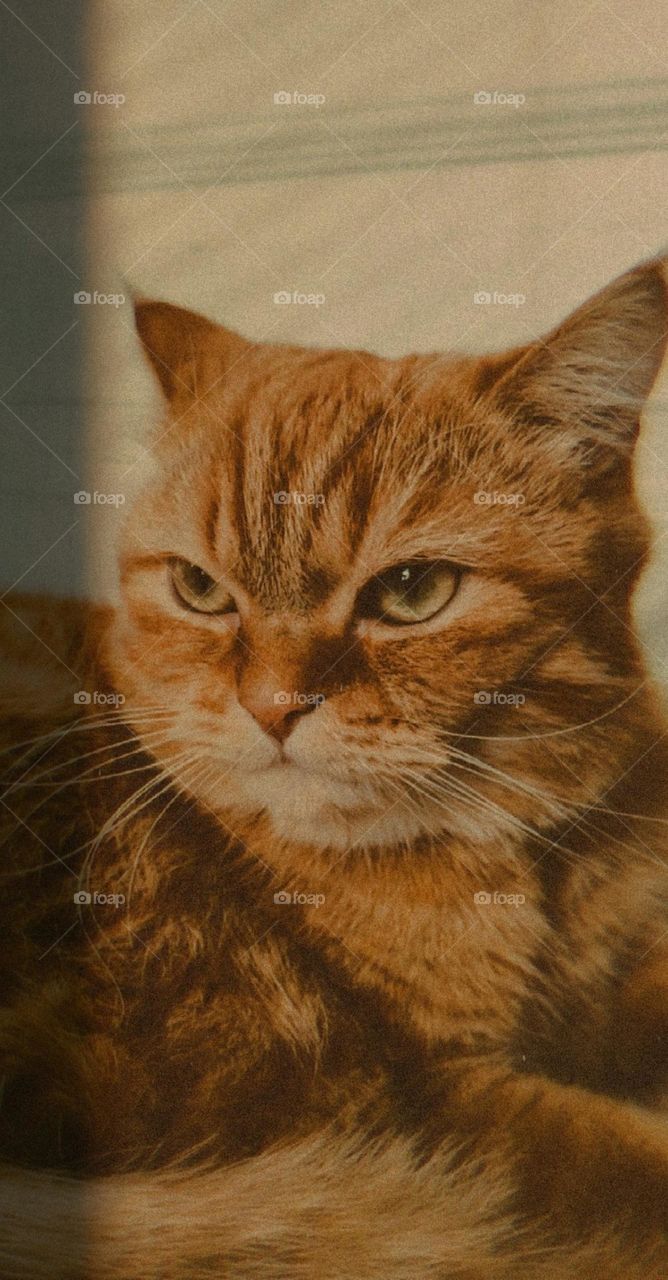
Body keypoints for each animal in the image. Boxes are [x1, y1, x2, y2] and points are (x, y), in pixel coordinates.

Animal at [0, 254, 660, 1274]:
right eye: (199, 589)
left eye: (413, 591)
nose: (273, 707)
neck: (534, 869)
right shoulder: (420, 1094)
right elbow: (621, 1161)